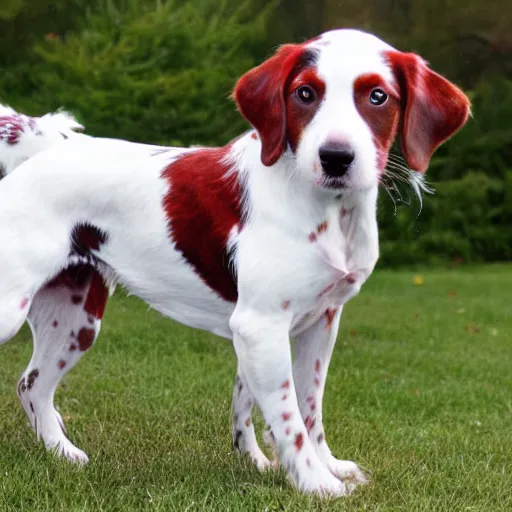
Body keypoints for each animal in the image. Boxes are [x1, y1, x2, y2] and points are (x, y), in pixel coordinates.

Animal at [0, 29, 470, 496]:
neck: (327, 212)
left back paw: (64, 453)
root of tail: (41, 151)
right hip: (15, 310)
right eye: (305, 93)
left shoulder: (316, 320)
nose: (336, 157)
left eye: (377, 96)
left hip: (76, 318)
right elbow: (288, 418)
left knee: (32, 386)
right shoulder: (260, 323)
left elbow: (303, 407)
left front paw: (306, 465)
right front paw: (316, 483)